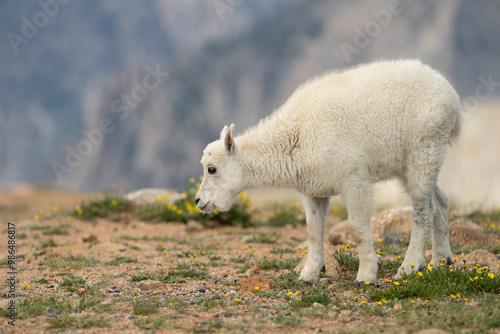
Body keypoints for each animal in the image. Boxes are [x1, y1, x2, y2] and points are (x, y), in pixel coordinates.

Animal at [194, 60, 460, 284]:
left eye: (212, 169)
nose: (198, 201)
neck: (297, 136)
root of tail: (453, 97)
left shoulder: (354, 178)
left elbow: (356, 227)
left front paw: (366, 274)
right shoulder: (314, 190)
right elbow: (313, 230)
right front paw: (309, 274)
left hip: (424, 149)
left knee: (423, 210)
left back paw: (409, 267)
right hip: (411, 164)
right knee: (440, 201)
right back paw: (440, 261)